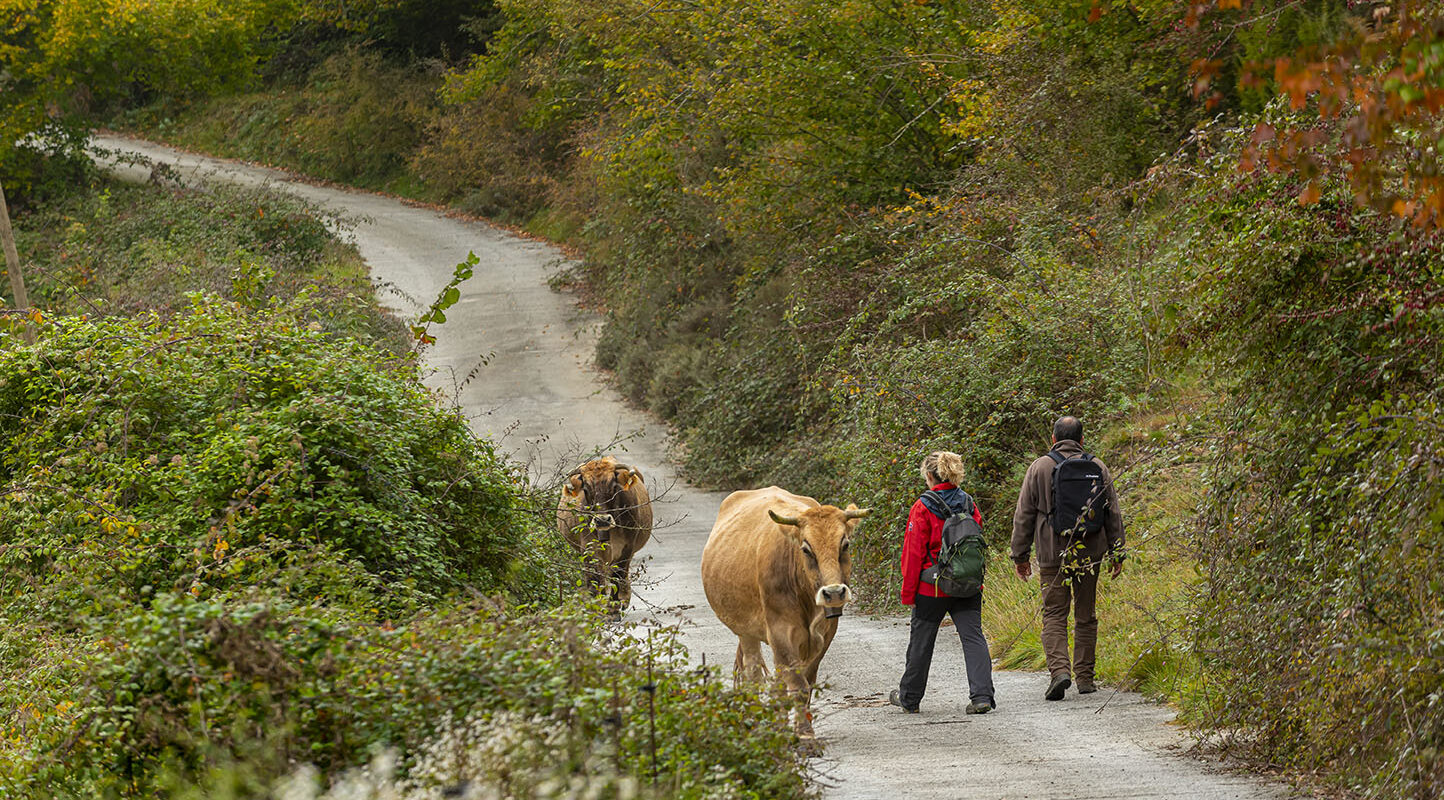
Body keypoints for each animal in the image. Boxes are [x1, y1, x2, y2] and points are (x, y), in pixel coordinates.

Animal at [557, 453, 655, 609]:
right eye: (586, 489)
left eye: (613, 487)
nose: (602, 520)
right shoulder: (589, 549)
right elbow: (594, 580)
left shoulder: (626, 548)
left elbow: (617, 576)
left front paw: (614, 606)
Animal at [698, 482, 866, 730]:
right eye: (806, 549)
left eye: (845, 544)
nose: (834, 592)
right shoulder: (780, 632)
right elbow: (798, 684)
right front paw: (805, 734)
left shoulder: (825, 635)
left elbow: (805, 683)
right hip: (745, 632)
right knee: (753, 672)